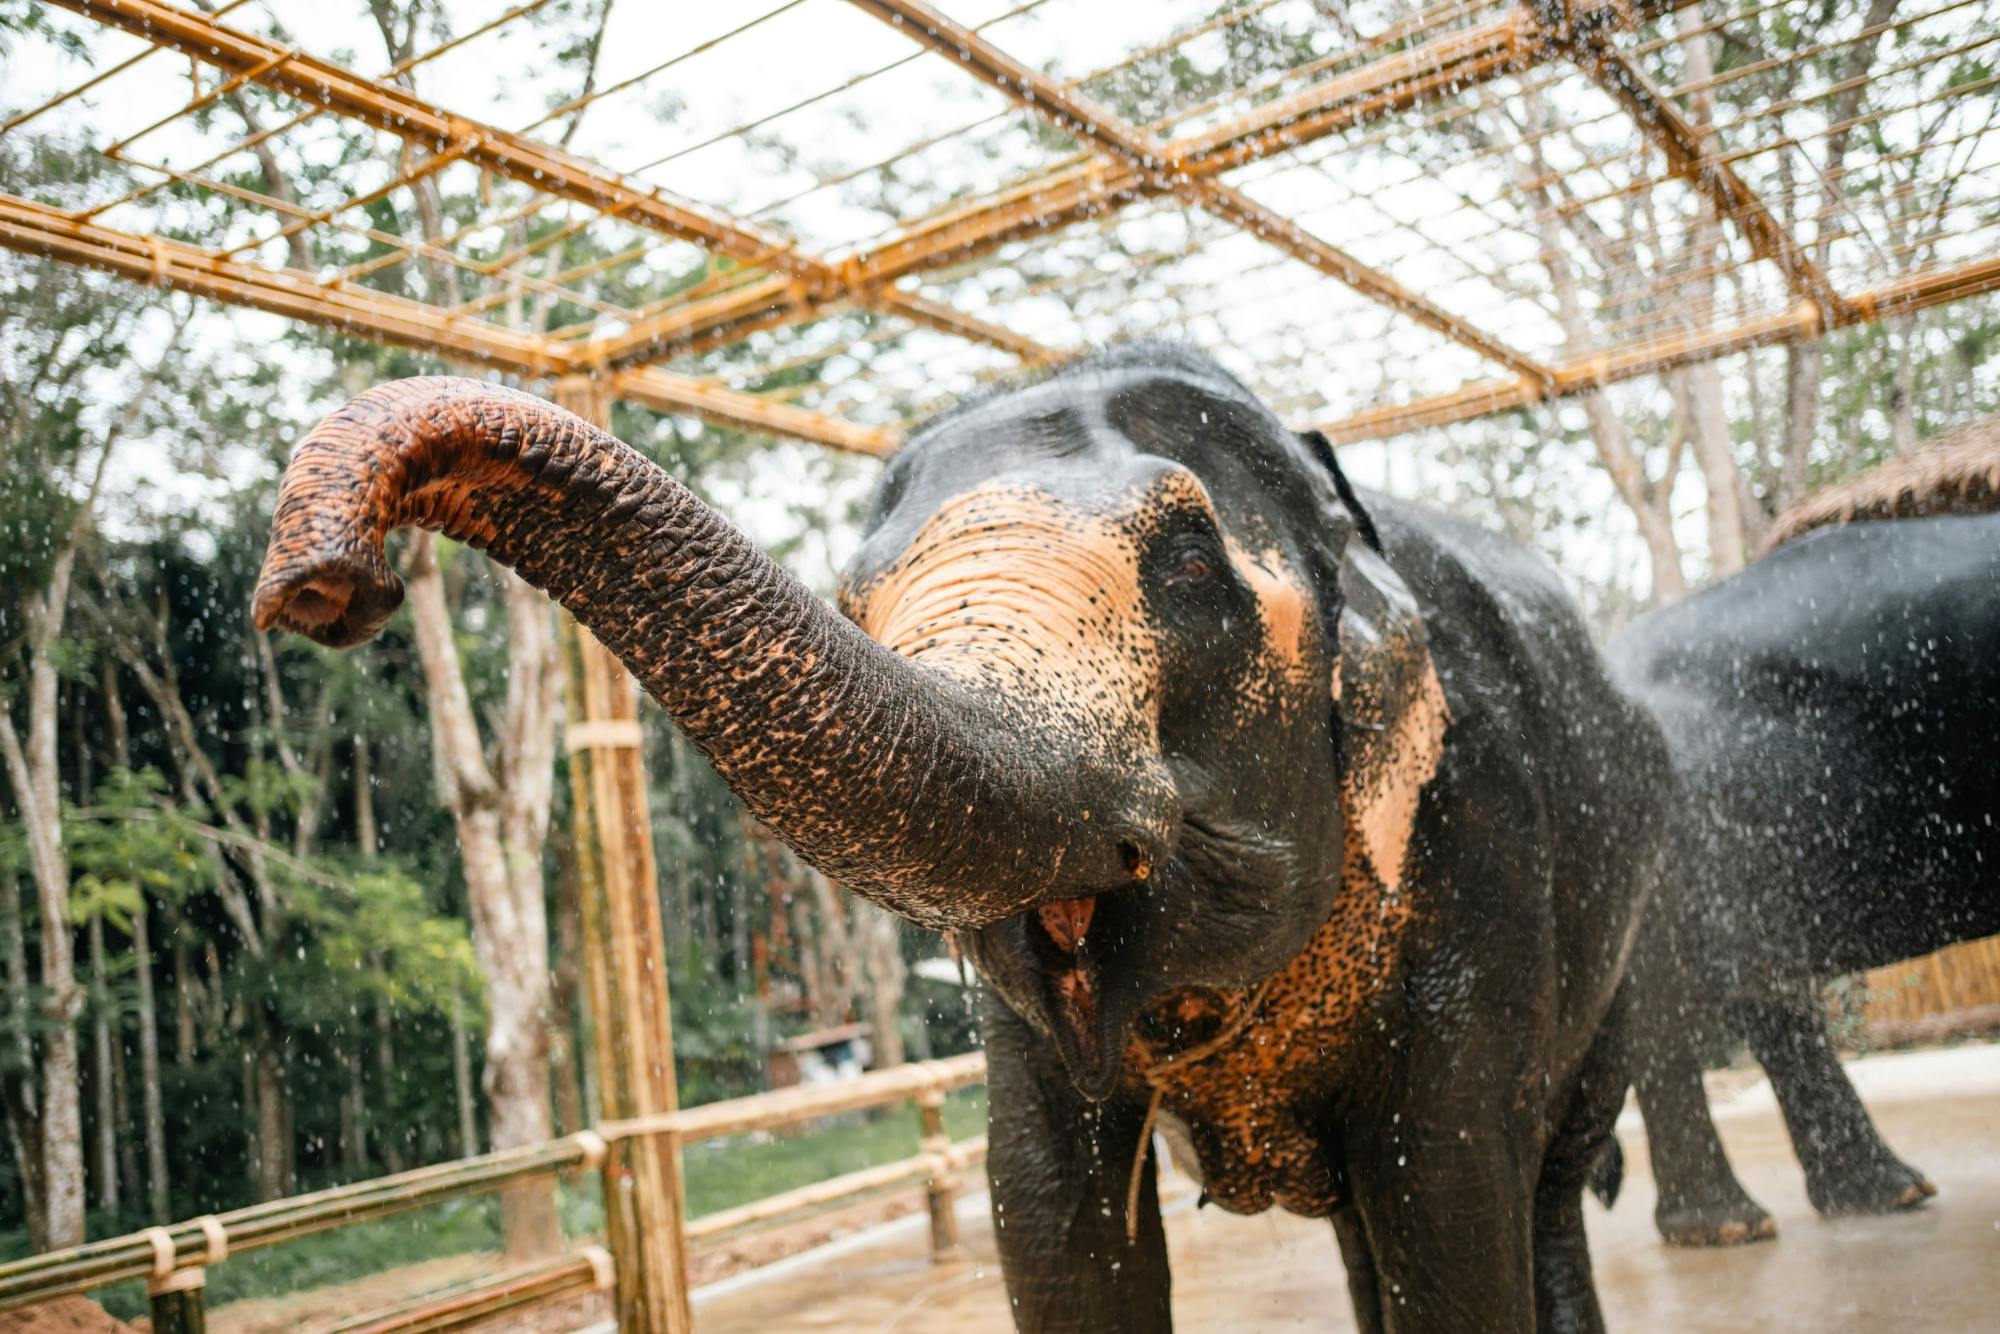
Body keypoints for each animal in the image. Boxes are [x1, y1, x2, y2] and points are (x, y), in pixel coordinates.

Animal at [253, 343, 1672, 1332]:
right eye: (853, 596)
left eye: (1188, 564)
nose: (321, 585)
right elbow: (1044, 1214)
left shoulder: (1483, 834)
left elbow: (1446, 1192)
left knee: (1542, 1183)